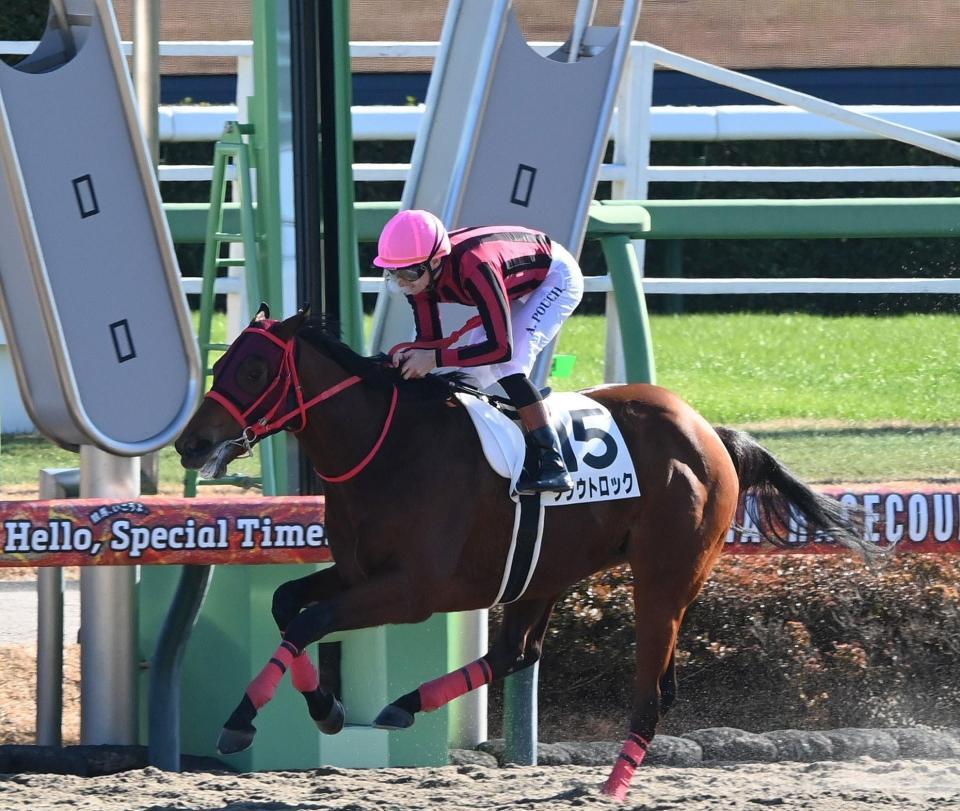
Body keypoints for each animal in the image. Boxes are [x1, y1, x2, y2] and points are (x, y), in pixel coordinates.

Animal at [174, 304, 873, 802]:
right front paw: (321, 706)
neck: (389, 449)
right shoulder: (357, 573)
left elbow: (310, 620)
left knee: (651, 688)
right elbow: (288, 603)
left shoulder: (413, 592)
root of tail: (711, 432)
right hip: (547, 570)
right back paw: (404, 706)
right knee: (519, 651)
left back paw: (613, 785)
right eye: (219, 367)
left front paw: (257, 720)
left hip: (665, 579)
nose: (190, 444)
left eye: (254, 371)